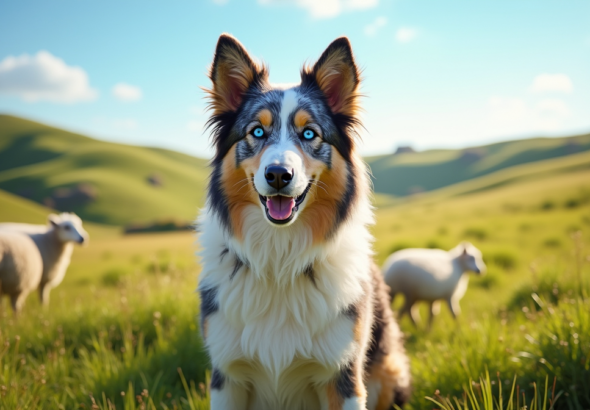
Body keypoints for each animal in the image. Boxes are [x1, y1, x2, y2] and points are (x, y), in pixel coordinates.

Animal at [199, 33, 412, 408]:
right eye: (257, 131)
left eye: (310, 134)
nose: (278, 174)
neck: (279, 260)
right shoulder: (227, 375)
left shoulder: (343, 374)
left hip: (389, 371)